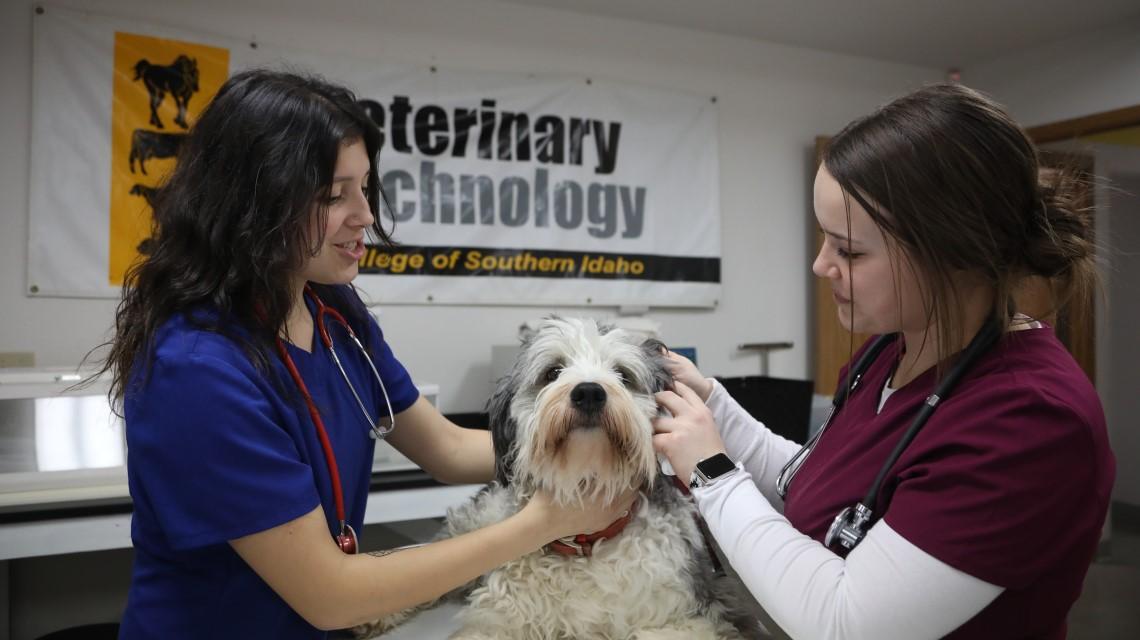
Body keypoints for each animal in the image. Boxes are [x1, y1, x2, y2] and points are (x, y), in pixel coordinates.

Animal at [360, 317, 761, 638]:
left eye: (623, 375)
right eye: (552, 372)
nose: (589, 392)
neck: (587, 543)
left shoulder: (693, 614)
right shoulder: (497, 618)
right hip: (476, 528)